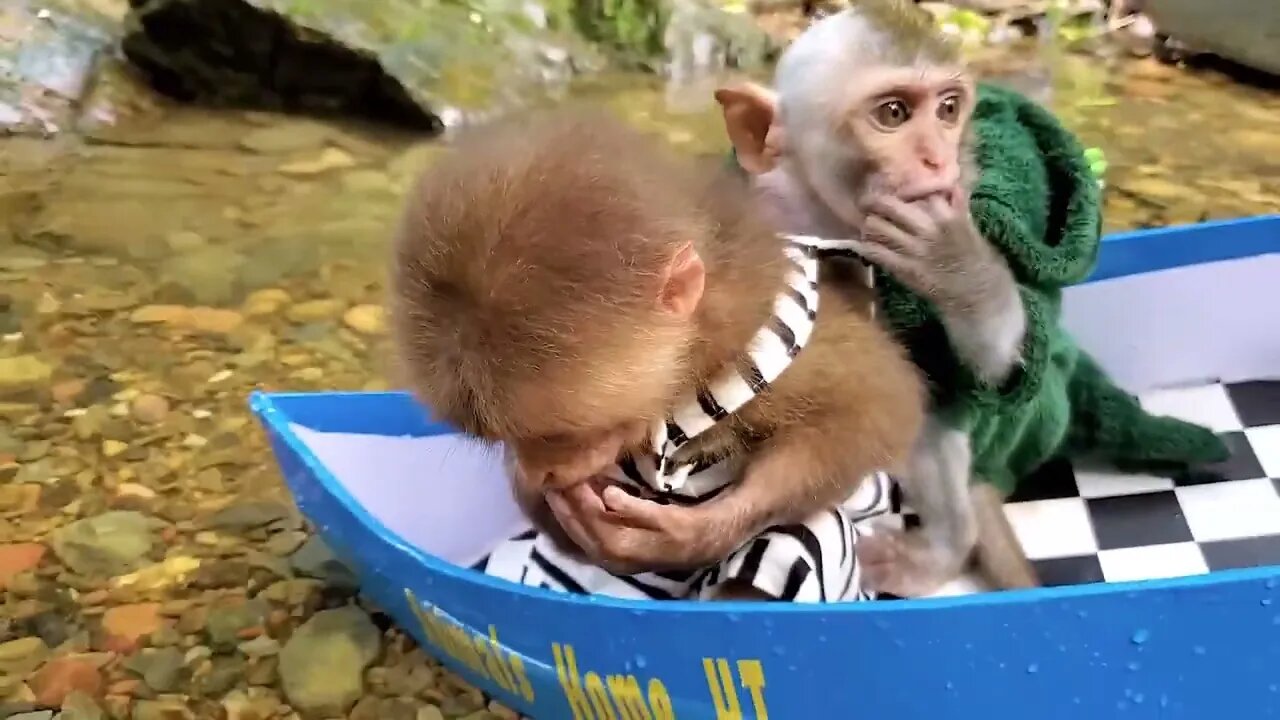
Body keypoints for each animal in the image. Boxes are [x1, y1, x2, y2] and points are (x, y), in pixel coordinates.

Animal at [389, 106, 931, 599]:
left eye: (557, 436)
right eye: (509, 438)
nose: (539, 470)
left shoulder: (774, 346)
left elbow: (876, 405)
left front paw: (694, 534)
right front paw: (533, 492)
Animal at [716, 0, 1034, 594]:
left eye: (948, 109)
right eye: (893, 114)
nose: (940, 161)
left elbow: (975, 371)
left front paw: (955, 263)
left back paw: (945, 549)